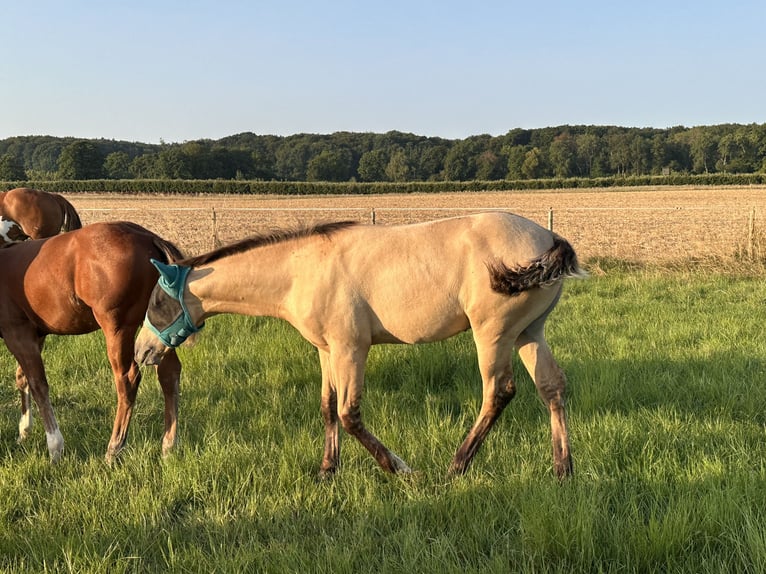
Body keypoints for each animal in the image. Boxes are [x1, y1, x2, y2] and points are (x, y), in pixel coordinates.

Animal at [0, 221, 186, 463]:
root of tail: (148, 237)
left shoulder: (17, 333)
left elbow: (38, 384)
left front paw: (55, 449)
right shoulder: (36, 336)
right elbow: (22, 378)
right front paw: (24, 432)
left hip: (117, 329)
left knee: (128, 380)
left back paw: (114, 448)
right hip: (159, 327)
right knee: (169, 373)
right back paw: (168, 446)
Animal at [134, 212, 585, 478]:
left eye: (156, 302)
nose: (141, 353)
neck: (302, 269)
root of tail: (548, 237)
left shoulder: (352, 348)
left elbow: (350, 415)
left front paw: (400, 468)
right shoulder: (327, 350)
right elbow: (328, 407)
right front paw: (326, 470)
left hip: (493, 334)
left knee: (499, 392)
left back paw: (457, 466)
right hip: (529, 333)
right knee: (552, 388)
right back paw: (562, 468)